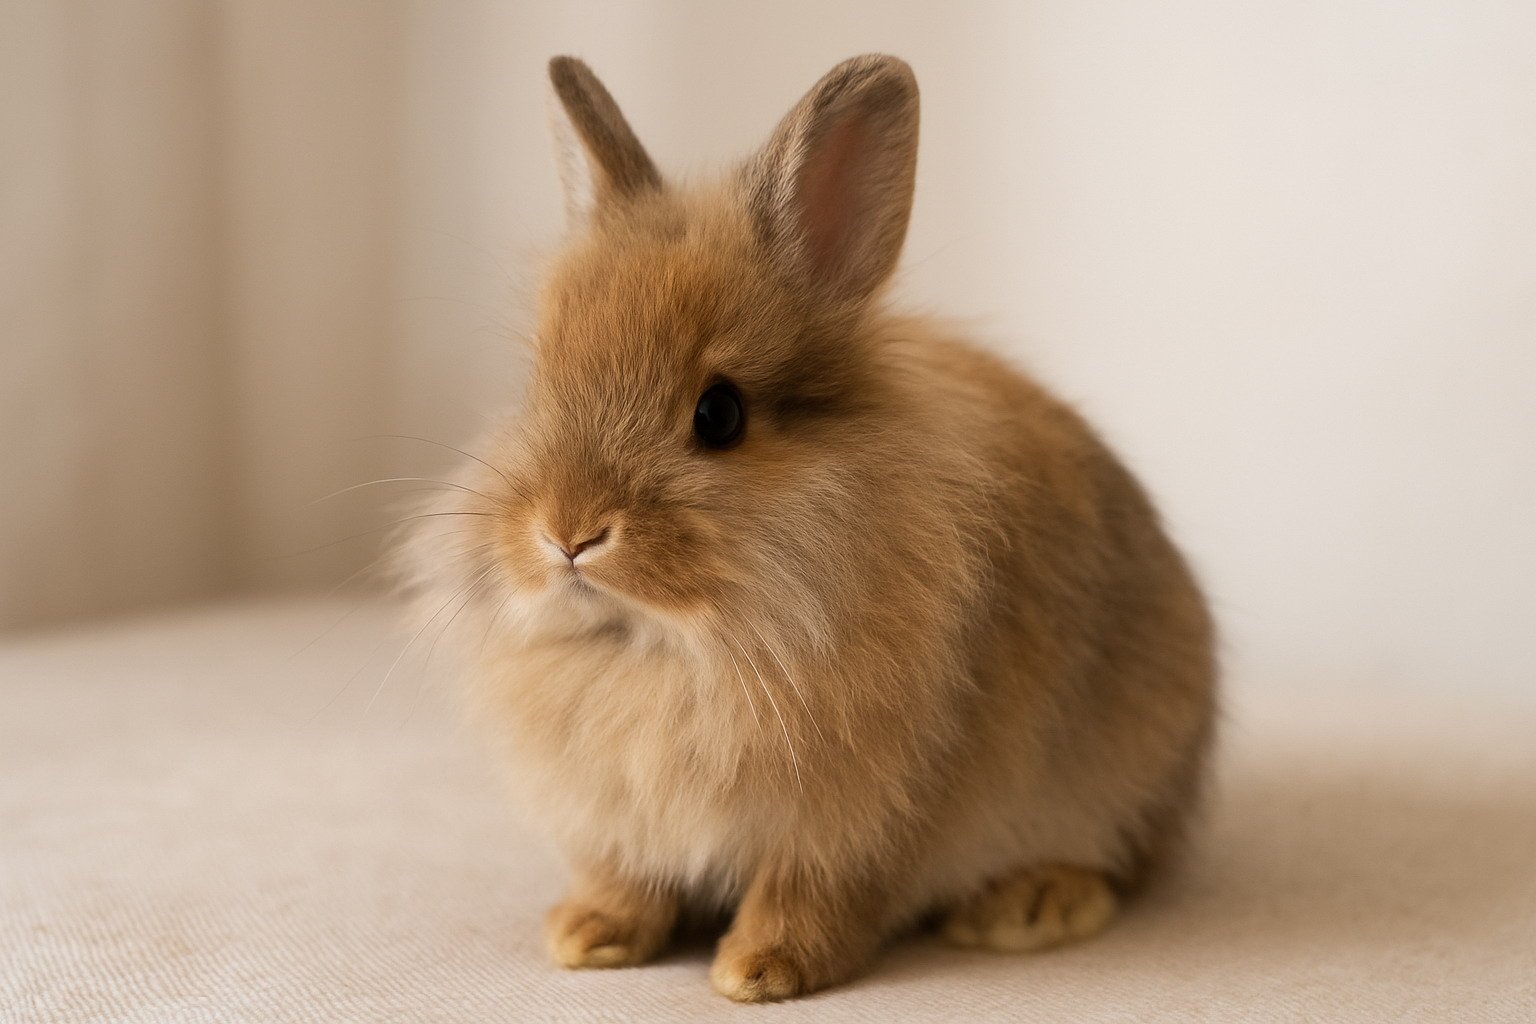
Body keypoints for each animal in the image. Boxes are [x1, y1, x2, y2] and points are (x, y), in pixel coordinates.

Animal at [399, 53, 1217, 1002]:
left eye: (720, 415)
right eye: (538, 387)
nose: (567, 534)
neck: (665, 648)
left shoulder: (864, 821)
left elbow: (813, 893)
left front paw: (761, 970)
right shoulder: (618, 820)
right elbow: (626, 878)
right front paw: (587, 934)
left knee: (1124, 865)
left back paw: (1029, 907)